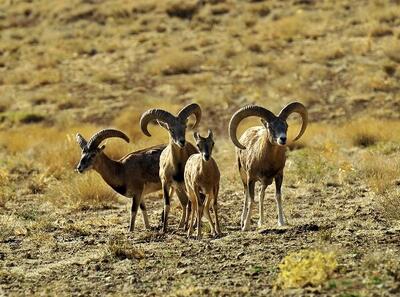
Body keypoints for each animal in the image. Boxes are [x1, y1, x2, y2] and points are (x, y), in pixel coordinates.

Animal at [141, 103, 203, 232]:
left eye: (184, 126)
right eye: (171, 129)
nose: (182, 141)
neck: (177, 167)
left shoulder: (186, 184)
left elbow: (190, 205)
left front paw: (187, 227)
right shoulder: (166, 183)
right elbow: (167, 204)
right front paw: (164, 229)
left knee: (193, 202)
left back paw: (191, 225)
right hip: (178, 189)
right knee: (184, 202)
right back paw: (180, 225)